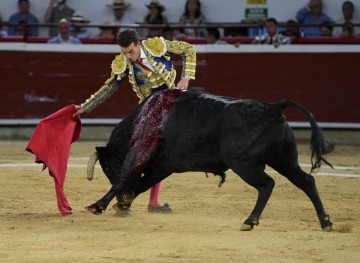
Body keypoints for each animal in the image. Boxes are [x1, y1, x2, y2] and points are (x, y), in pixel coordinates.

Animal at [84, 89, 334, 232]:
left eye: (109, 168)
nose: (123, 200)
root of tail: (272, 108)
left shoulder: (140, 155)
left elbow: (126, 177)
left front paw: (98, 205)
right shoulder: (164, 166)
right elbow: (143, 183)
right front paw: (123, 204)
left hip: (244, 163)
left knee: (267, 184)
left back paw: (250, 221)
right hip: (284, 160)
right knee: (306, 181)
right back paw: (325, 221)